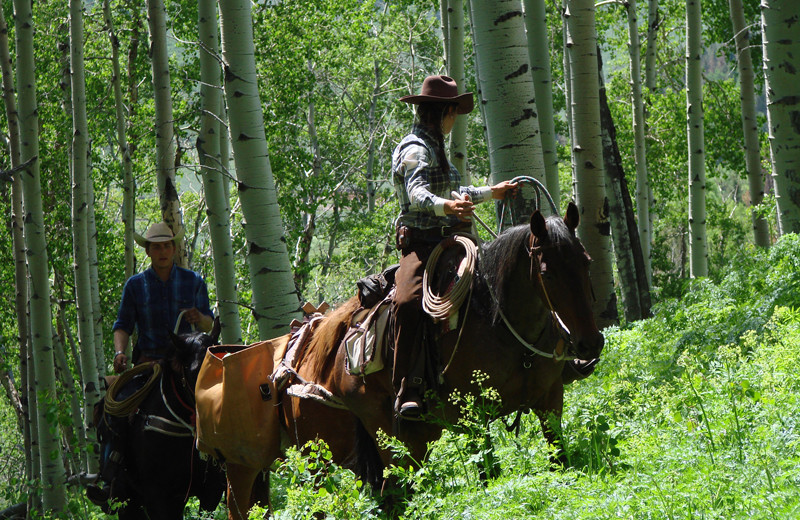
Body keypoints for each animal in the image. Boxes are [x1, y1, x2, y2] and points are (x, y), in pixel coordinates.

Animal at [222, 204, 604, 520]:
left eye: (586, 261)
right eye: (547, 271)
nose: (591, 343)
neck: (499, 321)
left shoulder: (550, 400)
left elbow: (559, 458)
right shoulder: (474, 412)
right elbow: (488, 471)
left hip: (408, 438)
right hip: (349, 445)